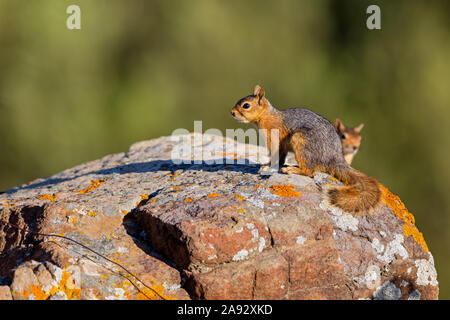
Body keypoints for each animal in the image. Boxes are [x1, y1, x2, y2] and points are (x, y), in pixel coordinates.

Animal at [230, 85, 382, 215]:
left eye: (246, 105)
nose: (232, 112)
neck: (266, 116)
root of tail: (335, 158)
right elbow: (280, 157)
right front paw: (266, 165)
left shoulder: (274, 138)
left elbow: (276, 156)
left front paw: (267, 167)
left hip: (302, 142)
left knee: (310, 172)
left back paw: (292, 169)